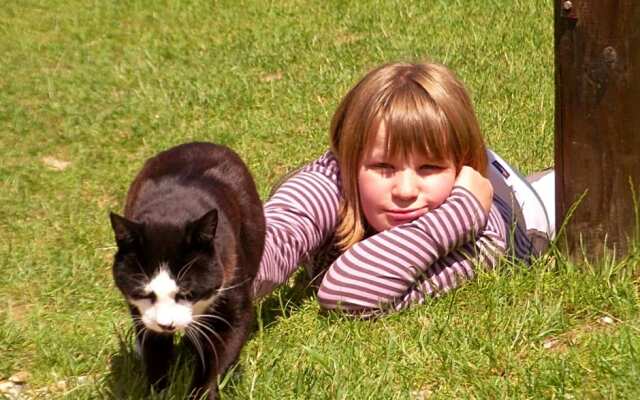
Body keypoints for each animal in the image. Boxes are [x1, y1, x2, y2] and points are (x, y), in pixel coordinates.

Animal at [109, 143, 264, 400]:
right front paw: (158, 391)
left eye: (188, 293)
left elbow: (218, 354)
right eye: (145, 293)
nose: (166, 324)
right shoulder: (143, 313)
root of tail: (202, 143)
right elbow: (155, 353)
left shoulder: (232, 285)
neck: (171, 212)